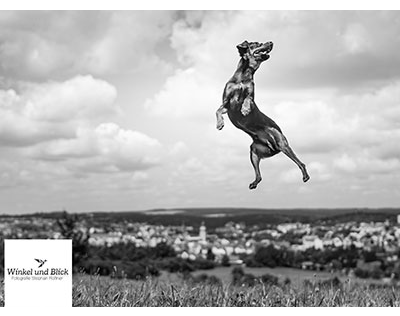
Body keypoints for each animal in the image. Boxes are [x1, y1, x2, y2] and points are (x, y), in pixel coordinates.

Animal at [216, 40, 310, 189]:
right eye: (256, 43)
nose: (271, 42)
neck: (245, 75)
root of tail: (273, 147)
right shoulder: (226, 104)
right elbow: (218, 111)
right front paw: (220, 124)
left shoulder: (251, 96)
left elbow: (247, 99)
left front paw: (245, 110)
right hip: (254, 152)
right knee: (259, 176)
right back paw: (254, 183)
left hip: (282, 144)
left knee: (301, 163)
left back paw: (305, 176)